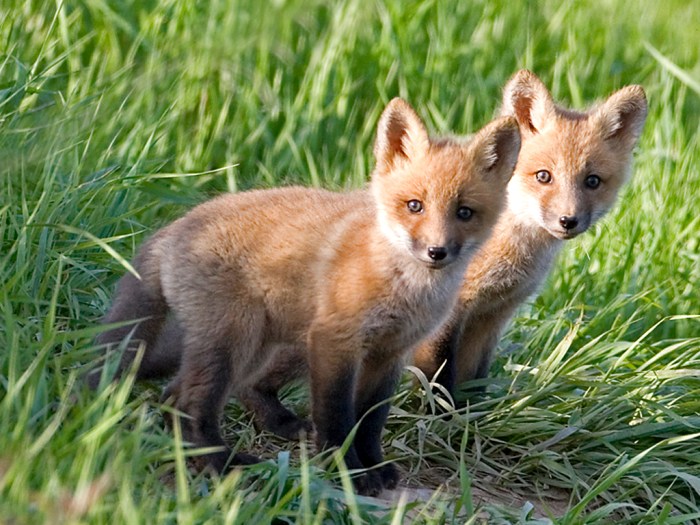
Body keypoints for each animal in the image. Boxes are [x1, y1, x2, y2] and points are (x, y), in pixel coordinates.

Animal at [89, 97, 521, 495]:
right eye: (414, 205)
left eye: (464, 212)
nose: (436, 252)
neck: (404, 288)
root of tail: (173, 229)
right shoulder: (334, 341)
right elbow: (337, 417)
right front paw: (348, 471)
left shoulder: (389, 353)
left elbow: (370, 421)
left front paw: (373, 466)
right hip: (234, 341)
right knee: (188, 402)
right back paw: (218, 463)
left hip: (255, 347)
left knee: (179, 393)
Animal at [412, 70, 648, 395]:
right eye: (543, 176)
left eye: (592, 181)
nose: (568, 220)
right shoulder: (448, 316)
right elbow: (435, 380)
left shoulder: (492, 317)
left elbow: (473, 381)